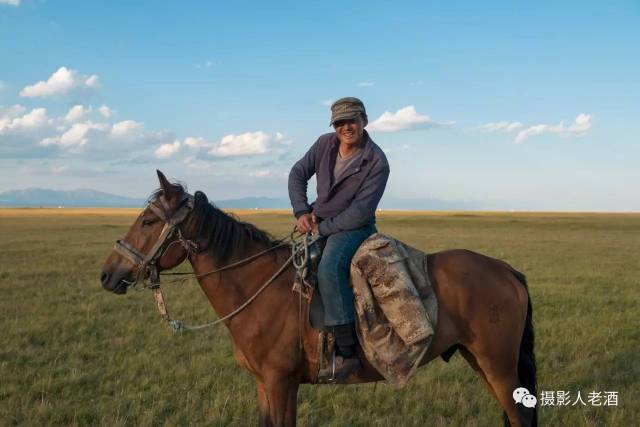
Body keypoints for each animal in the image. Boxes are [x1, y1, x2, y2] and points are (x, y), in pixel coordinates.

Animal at [100, 171, 536, 427]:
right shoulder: (264, 385)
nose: (108, 274)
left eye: (148, 221)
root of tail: (505, 270)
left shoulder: (281, 383)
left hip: (498, 365)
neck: (258, 290)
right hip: (480, 360)